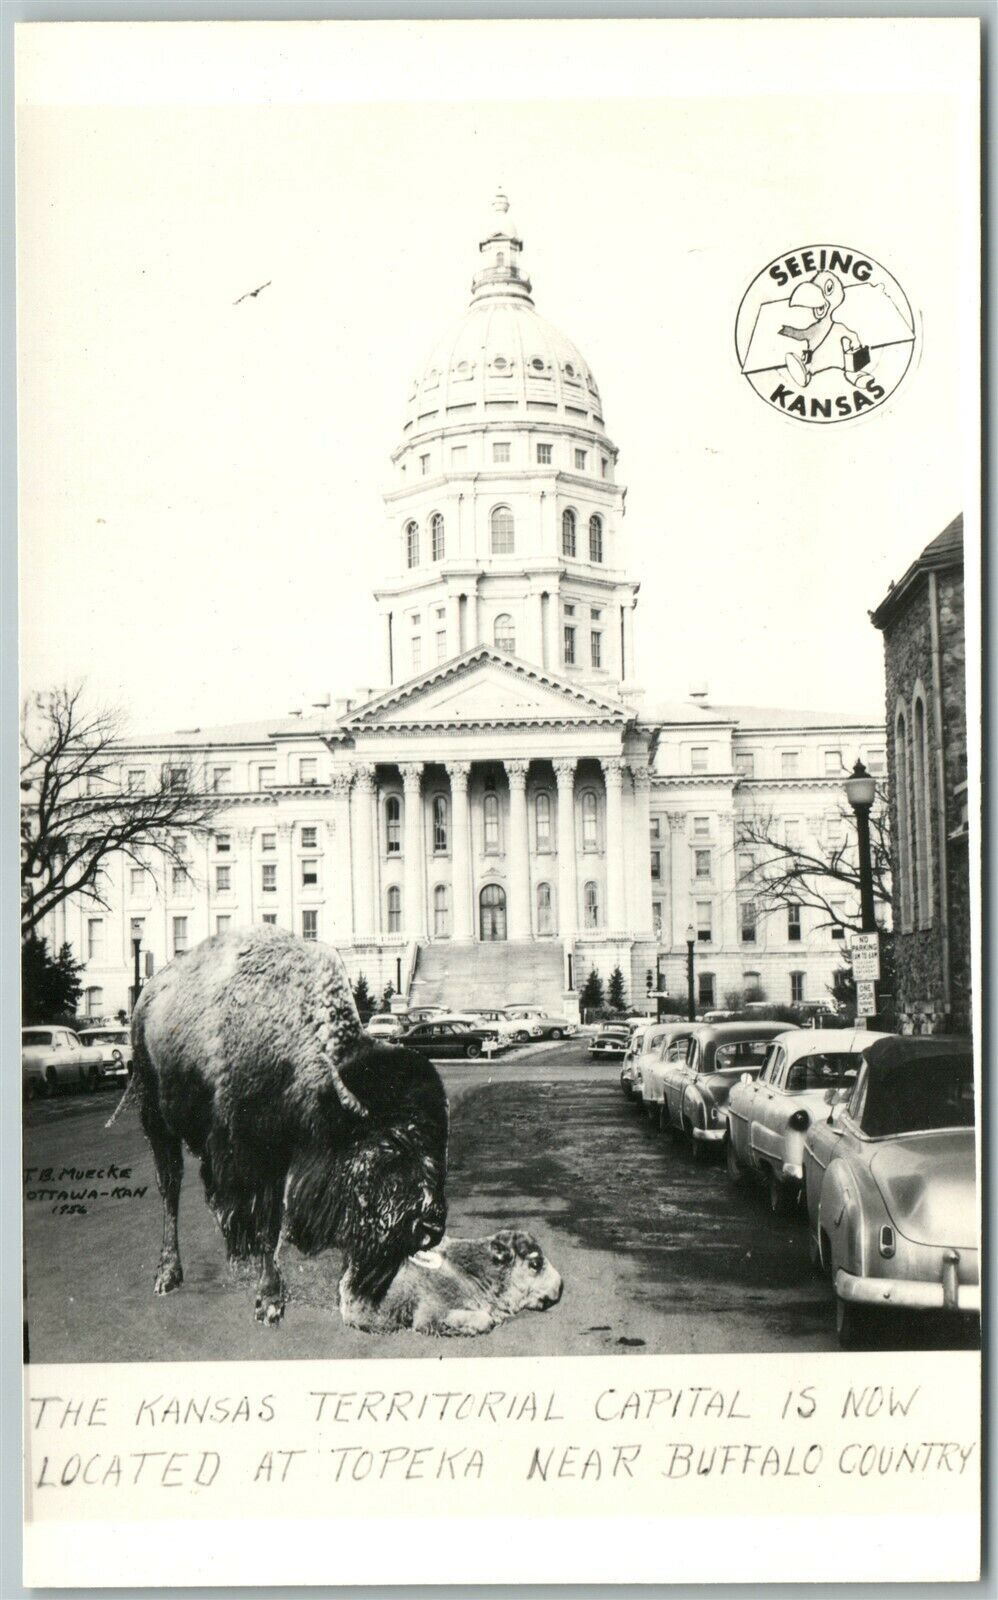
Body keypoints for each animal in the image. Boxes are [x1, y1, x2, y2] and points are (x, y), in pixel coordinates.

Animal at [130, 927, 448, 1324]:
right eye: (391, 1144)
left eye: (438, 1145)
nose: (432, 1227)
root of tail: (146, 1000)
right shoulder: (256, 1159)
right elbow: (267, 1224)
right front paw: (269, 1302)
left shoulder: (282, 1158)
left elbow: (271, 1221)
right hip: (157, 1123)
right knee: (170, 1190)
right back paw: (168, 1275)